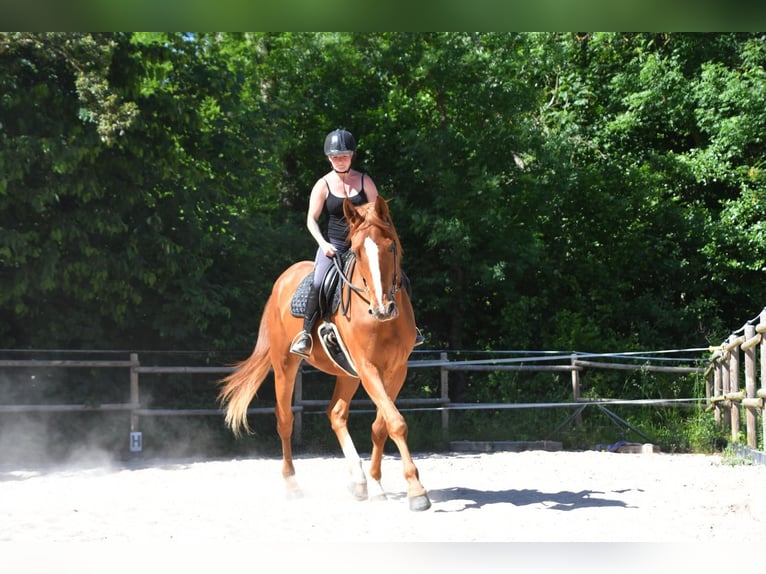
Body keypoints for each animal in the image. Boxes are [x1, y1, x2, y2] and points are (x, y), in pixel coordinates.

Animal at [219, 197, 432, 512]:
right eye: (357, 251)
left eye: (391, 246)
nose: (383, 308)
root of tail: (282, 281)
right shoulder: (367, 367)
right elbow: (395, 422)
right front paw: (417, 491)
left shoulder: (397, 370)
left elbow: (382, 425)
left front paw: (377, 484)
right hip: (285, 366)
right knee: (285, 419)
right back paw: (292, 484)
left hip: (347, 374)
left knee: (336, 414)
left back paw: (359, 481)